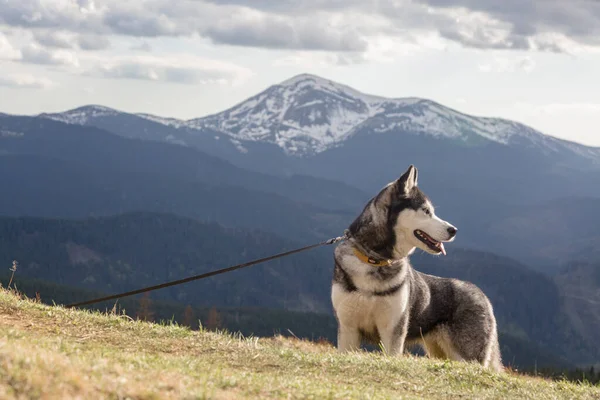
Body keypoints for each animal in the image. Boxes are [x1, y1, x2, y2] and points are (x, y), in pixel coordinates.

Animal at [330, 165, 504, 372]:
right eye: (426, 211)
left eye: (431, 211)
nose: (454, 230)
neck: (374, 260)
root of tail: (481, 294)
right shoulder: (348, 328)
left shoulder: (393, 331)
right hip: (438, 351)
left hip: (467, 358)